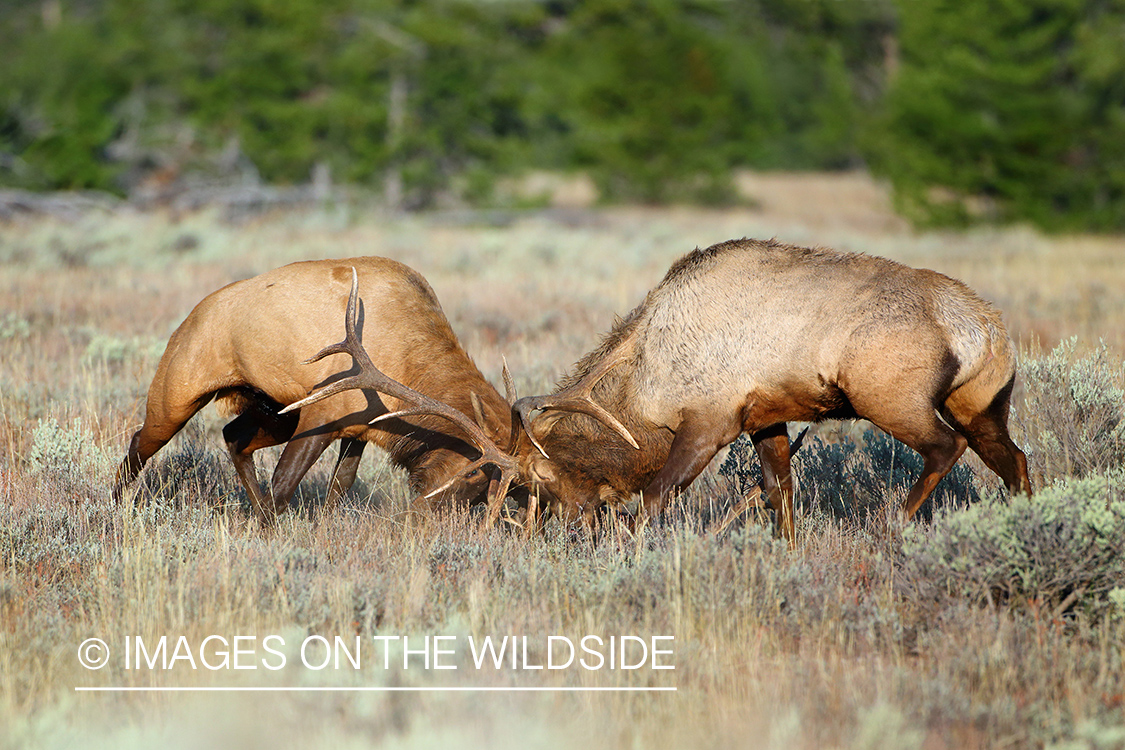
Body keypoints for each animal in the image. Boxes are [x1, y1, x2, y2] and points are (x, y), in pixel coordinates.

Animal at [113, 258, 517, 521]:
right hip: (175, 397)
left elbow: (338, 488)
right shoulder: (322, 412)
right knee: (137, 445)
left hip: (274, 411)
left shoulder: (359, 428)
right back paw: (113, 508)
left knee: (233, 435)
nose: (426, 516)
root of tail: (186, 320)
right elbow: (284, 484)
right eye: (476, 471)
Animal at [510, 237, 1030, 537]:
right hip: (981, 403)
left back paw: (891, 527)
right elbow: (781, 492)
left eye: (543, 479)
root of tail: (983, 329)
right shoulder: (764, 418)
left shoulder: (710, 419)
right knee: (1015, 458)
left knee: (946, 446)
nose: (557, 533)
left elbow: (655, 498)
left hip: (889, 397)